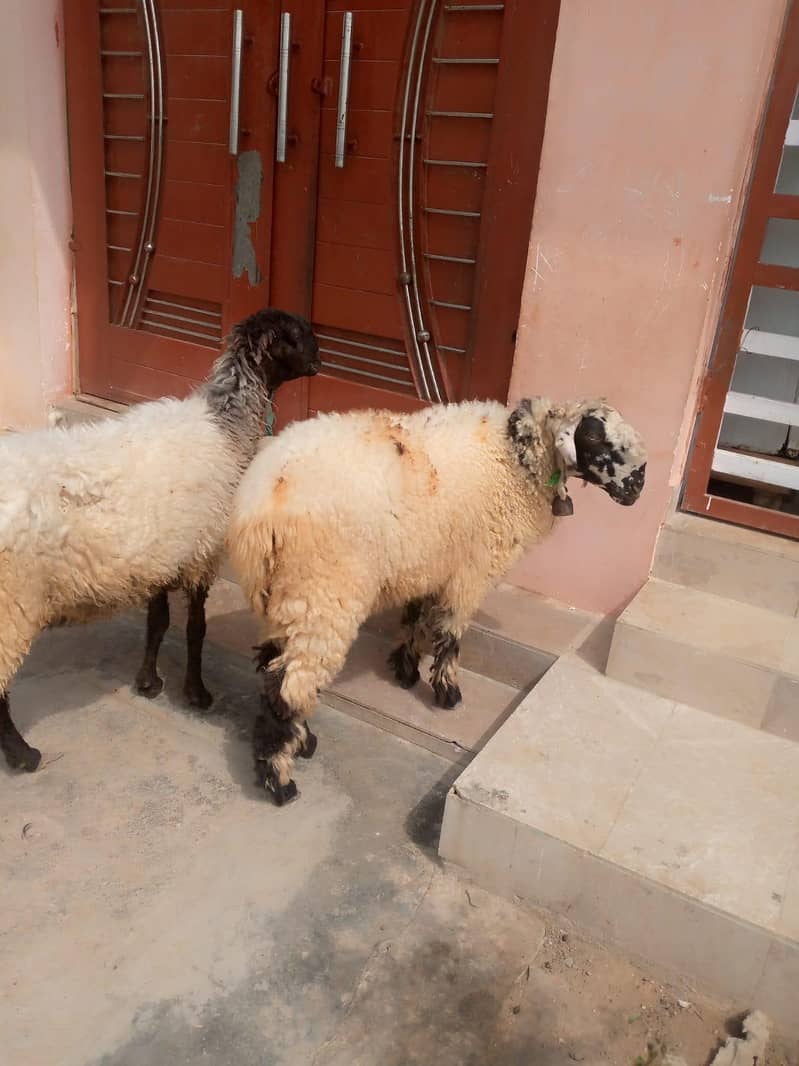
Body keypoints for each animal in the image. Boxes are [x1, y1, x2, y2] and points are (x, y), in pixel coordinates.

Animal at [0, 307, 320, 774]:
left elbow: (158, 622)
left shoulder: (160, 554)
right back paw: (23, 755)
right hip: (11, 604)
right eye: (297, 335)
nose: (321, 362)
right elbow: (195, 628)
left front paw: (148, 682)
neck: (225, 431)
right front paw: (197, 693)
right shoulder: (202, 551)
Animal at [227, 395, 647, 805]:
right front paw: (447, 692)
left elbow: (415, 617)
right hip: (322, 592)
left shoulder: (428, 562)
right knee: (288, 688)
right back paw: (280, 780)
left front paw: (406, 669)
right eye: (593, 437)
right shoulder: (472, 571)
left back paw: (301, 741)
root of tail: (260, 506)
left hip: (284, 597)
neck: (517, 461)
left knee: (274, 667)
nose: (640, 484)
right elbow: (451, 633)